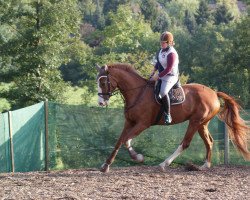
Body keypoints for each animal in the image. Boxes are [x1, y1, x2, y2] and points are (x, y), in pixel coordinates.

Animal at [96, 63, 250, 173]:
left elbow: (126, 141)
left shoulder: (142, 124)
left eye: (103, 83)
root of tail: (214, 93)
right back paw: (204, 166)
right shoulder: (129, 122)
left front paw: (138, 157)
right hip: (202, 124)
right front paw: (106, 165)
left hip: (195, 122)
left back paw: (164, 164)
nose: (101, 103)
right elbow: (119, 141)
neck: (137, 93)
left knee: (185, 143)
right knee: (209, 142)